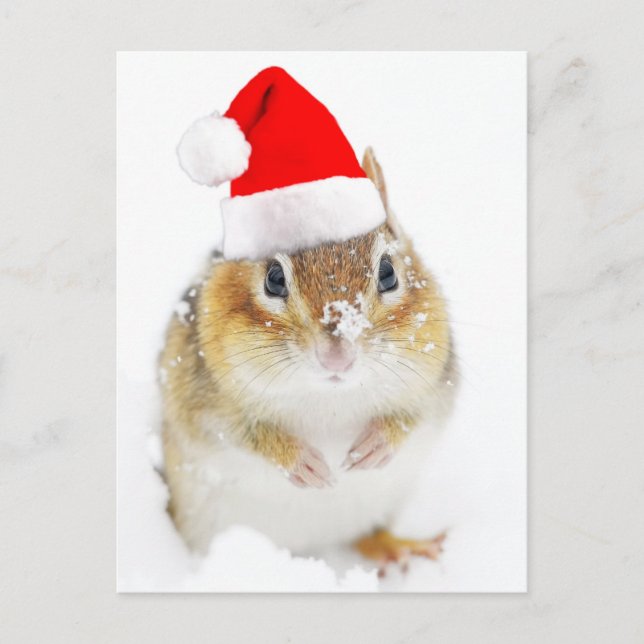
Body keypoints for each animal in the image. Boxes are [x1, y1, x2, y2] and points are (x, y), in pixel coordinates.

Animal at [160, 148, 457, 560]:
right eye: (273, 278)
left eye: (388, 272)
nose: (337, 357)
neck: (329, 398)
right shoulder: (204, 403)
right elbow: (241, 432)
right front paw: (303, 463)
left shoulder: (433, 385)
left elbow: (414, 415)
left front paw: (375, 446)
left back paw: (399, 548)